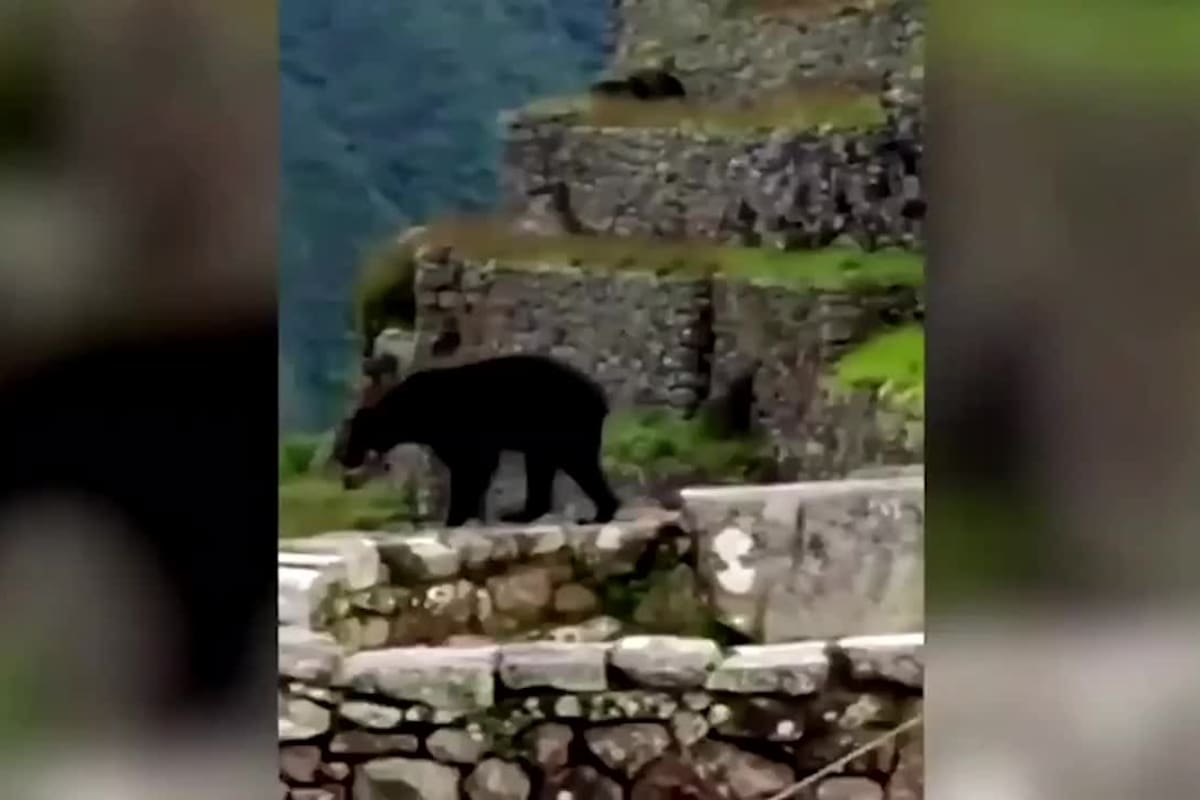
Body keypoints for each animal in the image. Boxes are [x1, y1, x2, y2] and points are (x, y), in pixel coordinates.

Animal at [336, 354, 622, 527]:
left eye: (349, 440)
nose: (343, 459)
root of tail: (600, 397)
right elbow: (473, 466)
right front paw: (466, 514)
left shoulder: (458, 427)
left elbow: (470, 467)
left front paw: (455, 516)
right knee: (544, 466)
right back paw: (523, 514)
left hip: (563, 421)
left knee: (577, 463)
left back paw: (598, 514)